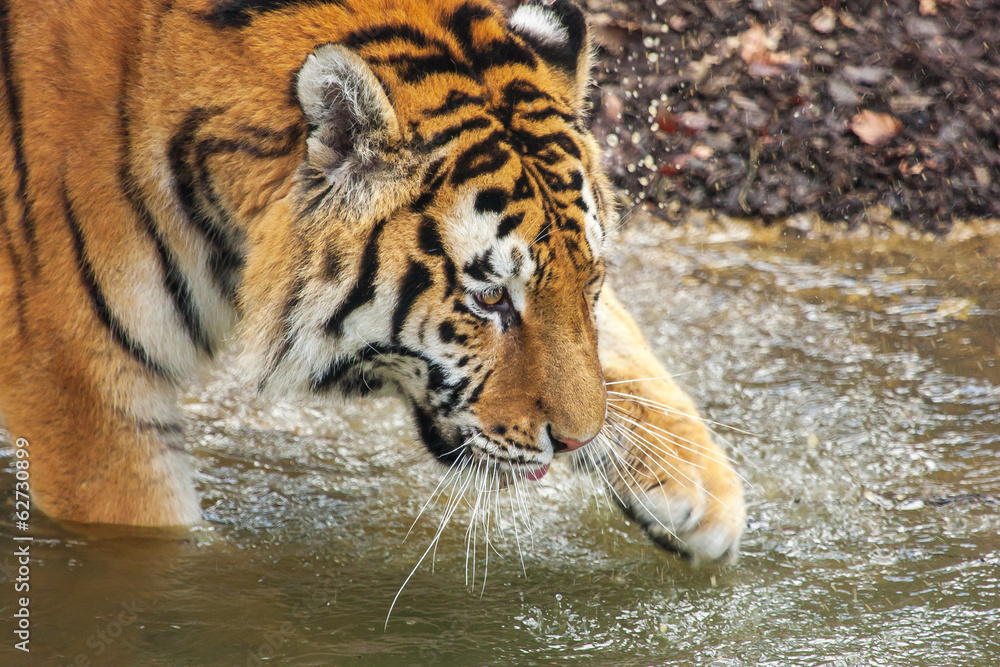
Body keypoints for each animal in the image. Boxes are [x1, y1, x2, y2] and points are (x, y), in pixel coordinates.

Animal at [0, 0, 744, 564]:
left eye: (592, 277)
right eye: (489, 298)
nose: (576, 443)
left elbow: (612, 337)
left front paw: (702, 491)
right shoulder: (87, 384)